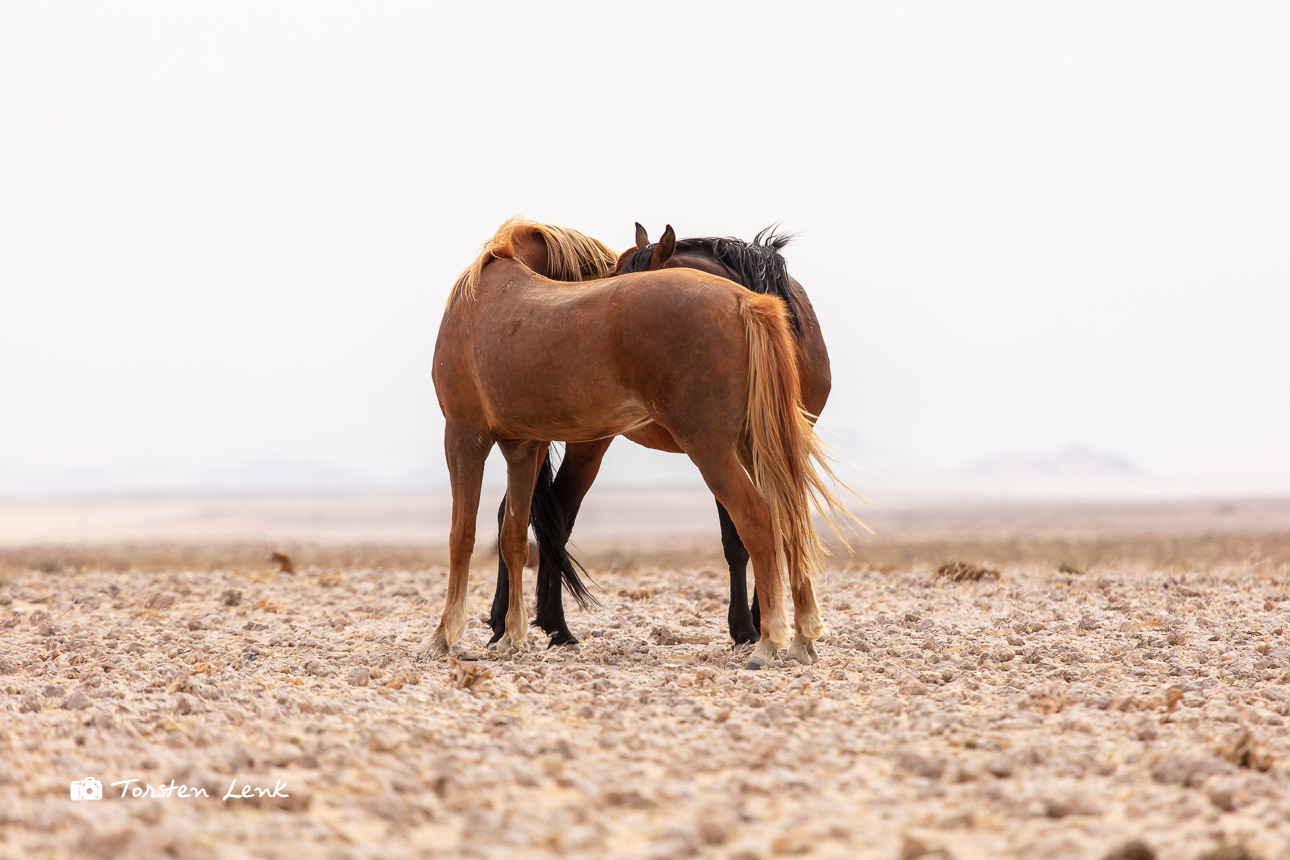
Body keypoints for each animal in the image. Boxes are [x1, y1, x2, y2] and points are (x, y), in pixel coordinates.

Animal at [417, 219, 851, 670]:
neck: (487, 294)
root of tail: (745, 300)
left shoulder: (464, 436)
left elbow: (462, 535)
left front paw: (444, 635)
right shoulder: (524, 446)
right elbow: (514, 535)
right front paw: (511, 636)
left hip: (710, 448)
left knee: (757, 518)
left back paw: (767, 641)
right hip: (753, 448)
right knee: (790, 516)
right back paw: (802, 637)